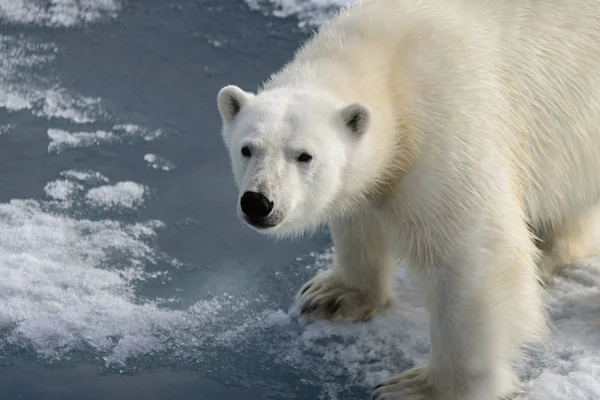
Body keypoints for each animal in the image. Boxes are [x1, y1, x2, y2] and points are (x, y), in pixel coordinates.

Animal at [218, 0, 600, 400]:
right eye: (247, 148)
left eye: (304, 155)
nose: (258, 202)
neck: (387, 62)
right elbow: (360, 215)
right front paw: (332, 295)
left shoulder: (446, 122)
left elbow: (474, 255)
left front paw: (423, 387)